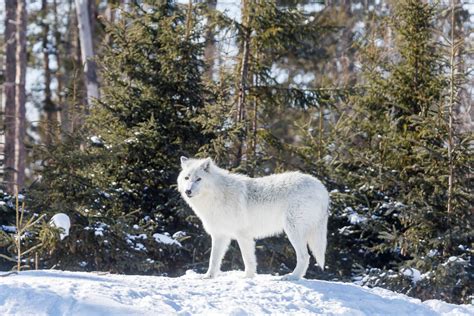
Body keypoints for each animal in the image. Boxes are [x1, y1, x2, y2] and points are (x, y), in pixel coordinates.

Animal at [176, 157, 328, 280]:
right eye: (186, 178)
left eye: (198, 179)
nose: (188, 191)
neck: (216, 196)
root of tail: (322, 188)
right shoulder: (220, 235)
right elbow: (213, 259)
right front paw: (208, 276)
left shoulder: (243, 235)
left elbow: (247, 259)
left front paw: (247, 277)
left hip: (293, 231)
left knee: (305, 256)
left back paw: (292, 277)